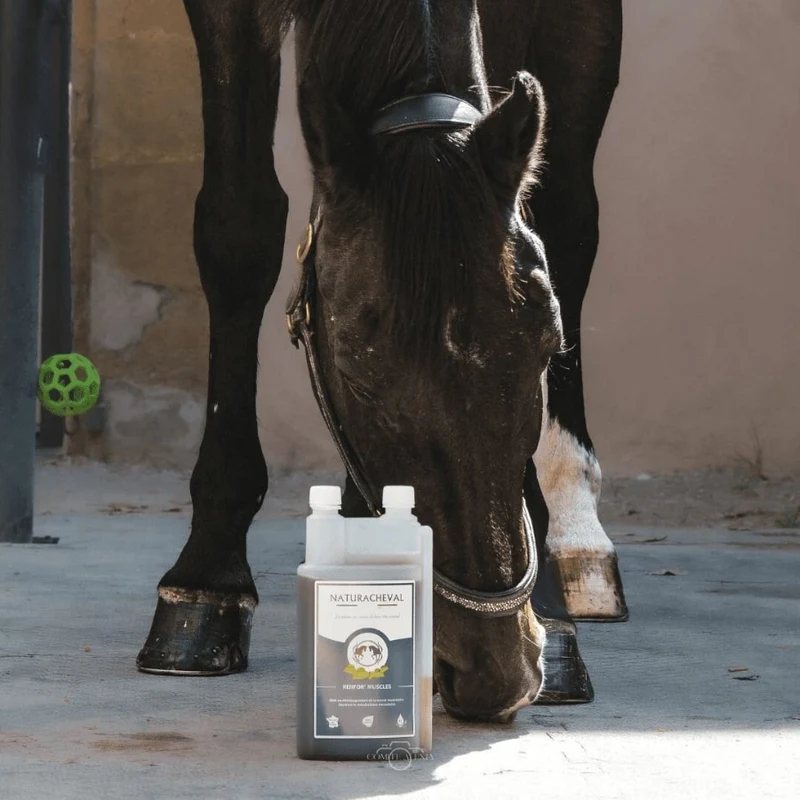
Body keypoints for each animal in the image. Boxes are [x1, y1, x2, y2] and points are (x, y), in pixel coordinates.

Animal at [136, 0, 626, 723]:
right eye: (359, 376)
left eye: (546, 344)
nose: (495, 670)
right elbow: (238, 226)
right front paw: (207, 582)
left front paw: (552, 614)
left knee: (569, 210)